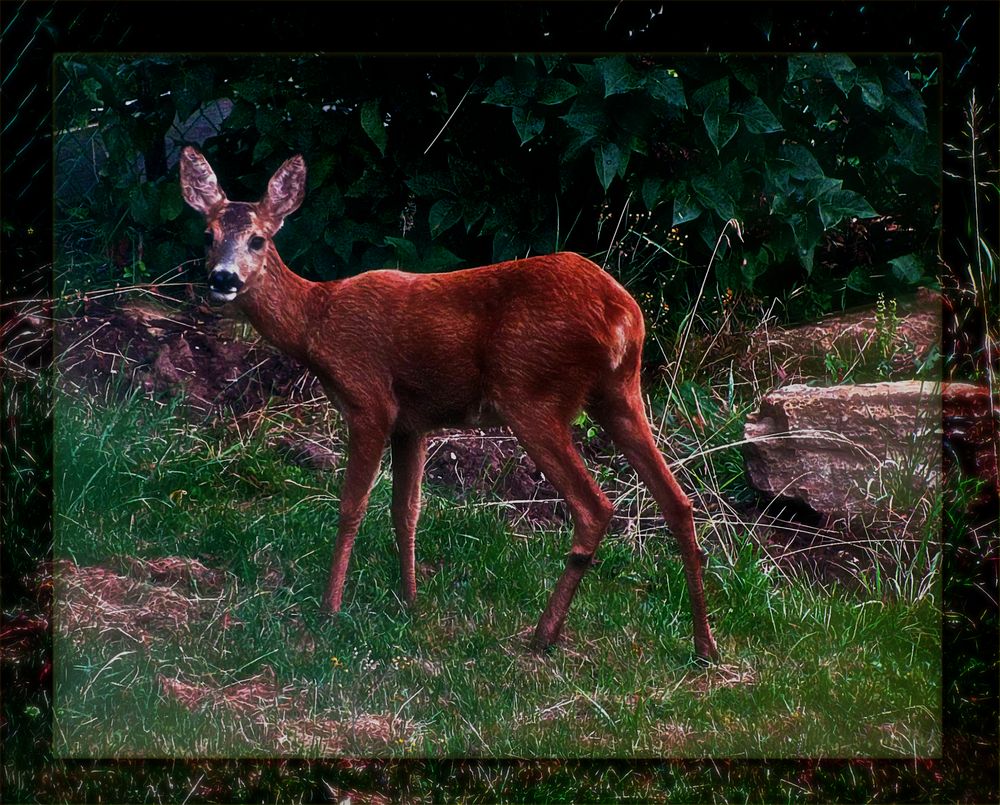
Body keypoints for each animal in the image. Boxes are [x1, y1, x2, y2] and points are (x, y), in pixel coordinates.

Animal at [182, 146, 720, 660]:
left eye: (258, 239)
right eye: (207, 236)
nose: (223, 279)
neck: (318, 320)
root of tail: (623, 315)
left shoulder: (369, 400)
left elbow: (352, 505)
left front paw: (329, 610)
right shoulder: (412, 422)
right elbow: (406, 509)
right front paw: (410, 602)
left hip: (530, 393)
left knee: (595, 507)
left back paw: (542, 635)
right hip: (620, 392)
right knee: (679, 502)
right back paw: (703, 647)